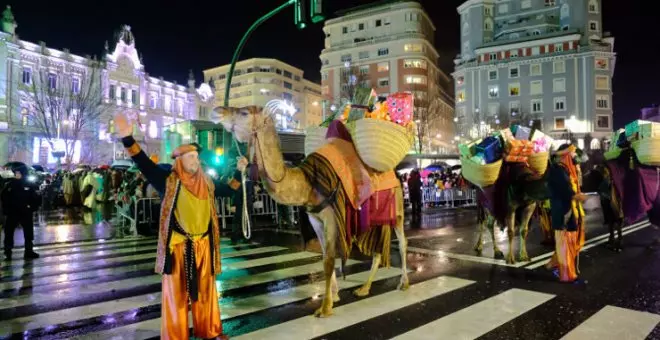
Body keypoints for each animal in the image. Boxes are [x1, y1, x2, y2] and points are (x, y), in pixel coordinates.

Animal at [213, 101, 408, 318]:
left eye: (245, 112)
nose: (218, 111)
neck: (306, 183)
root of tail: (395, 173)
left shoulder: (331, 216)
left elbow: (329, 260)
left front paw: (325, 307)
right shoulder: (316, 219)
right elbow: (324, 255)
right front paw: (335, 295)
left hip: (397, 209)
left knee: (402, 242)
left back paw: (404, 283)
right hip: (373, 216)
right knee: (377, 249)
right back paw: (364, 288)